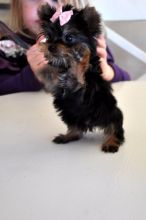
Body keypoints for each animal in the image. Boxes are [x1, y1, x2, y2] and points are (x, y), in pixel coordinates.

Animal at [36, 4, 125, 153]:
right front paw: (43, 68)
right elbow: (51, 75)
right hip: (69, 114)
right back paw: (68, 136)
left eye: (69, 37)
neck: (67, 66)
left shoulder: (84, 81)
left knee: (115, 124)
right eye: (49, 37)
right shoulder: (55, 84)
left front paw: (81, 54)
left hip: (108, 110)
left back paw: (111, 142)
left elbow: (82, 64)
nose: (51, 47)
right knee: (75, 129)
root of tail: (89, 123)